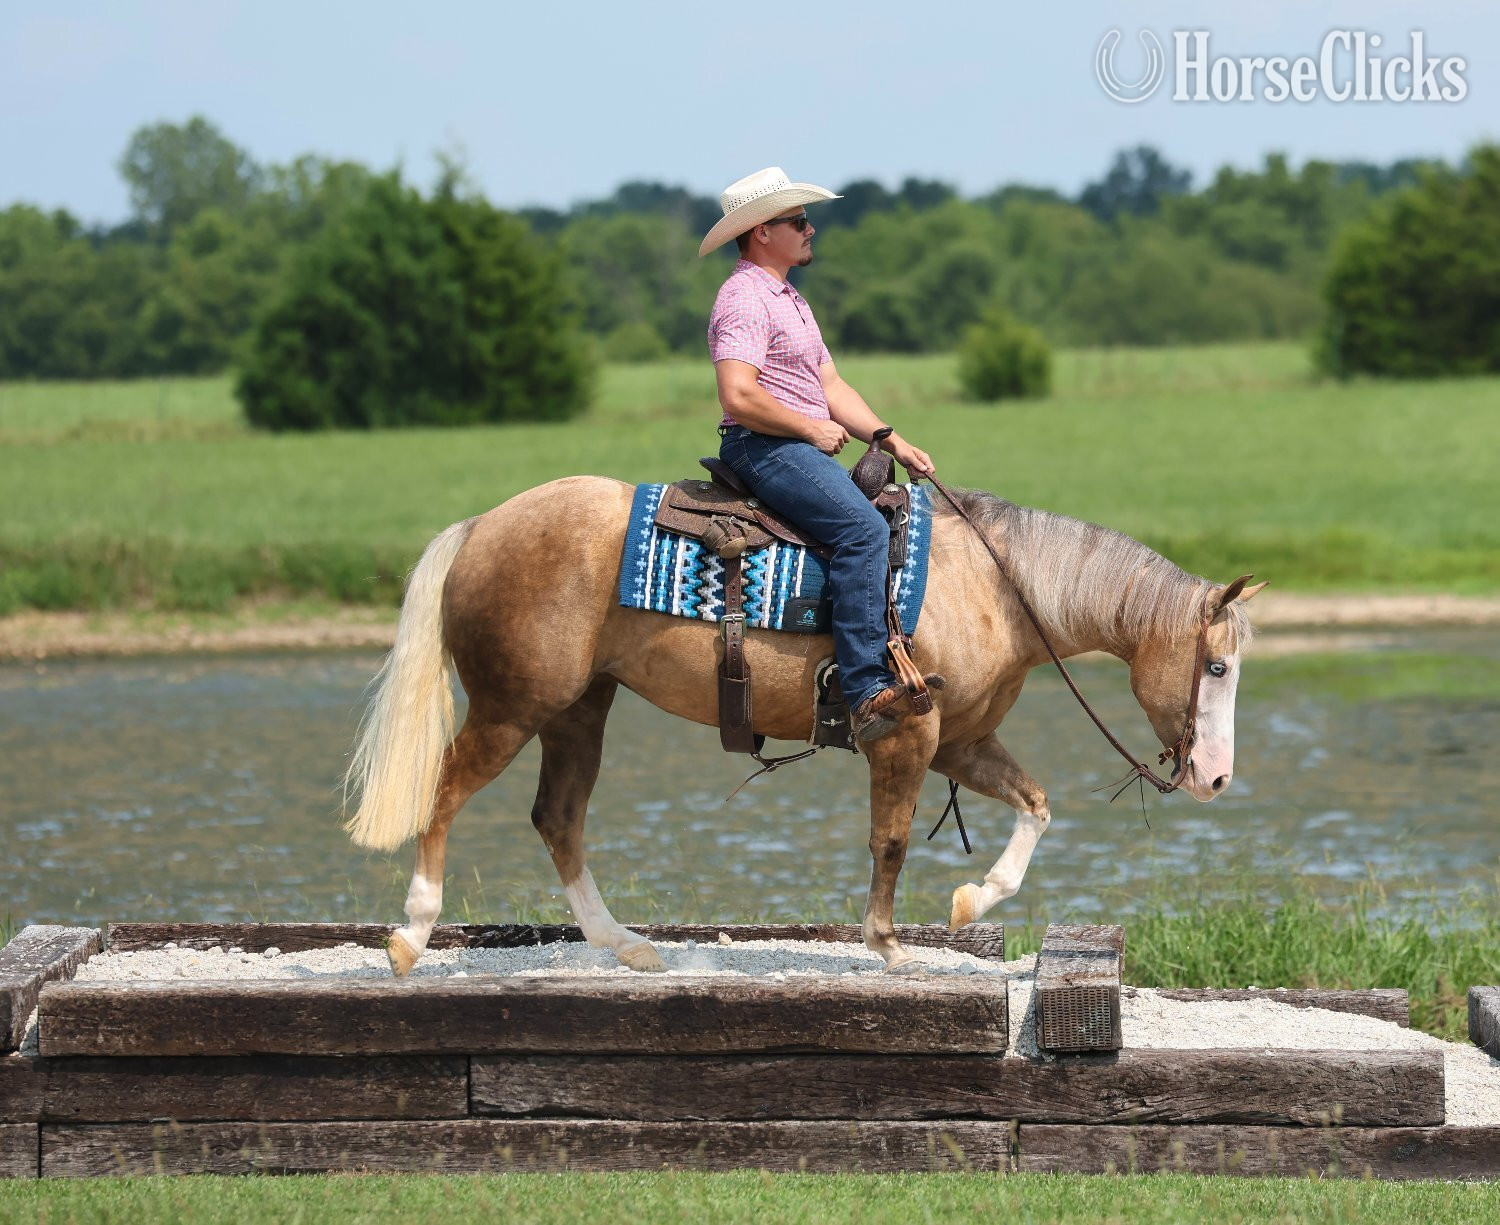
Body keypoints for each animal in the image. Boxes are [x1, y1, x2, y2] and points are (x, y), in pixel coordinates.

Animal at [343, 475, 1264, 977]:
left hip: (579, 708)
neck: (998, 587)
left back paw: (627, 946)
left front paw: (971, 899)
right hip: (511, 707)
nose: (1217, 777)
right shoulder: (907, 735)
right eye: (1217, 667)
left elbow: (1035, 805)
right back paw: (411, 935)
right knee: (446, 793)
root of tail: (481, 528)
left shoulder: (962, 741)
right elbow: (891, 837)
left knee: (557, 817)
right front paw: (887, 943)